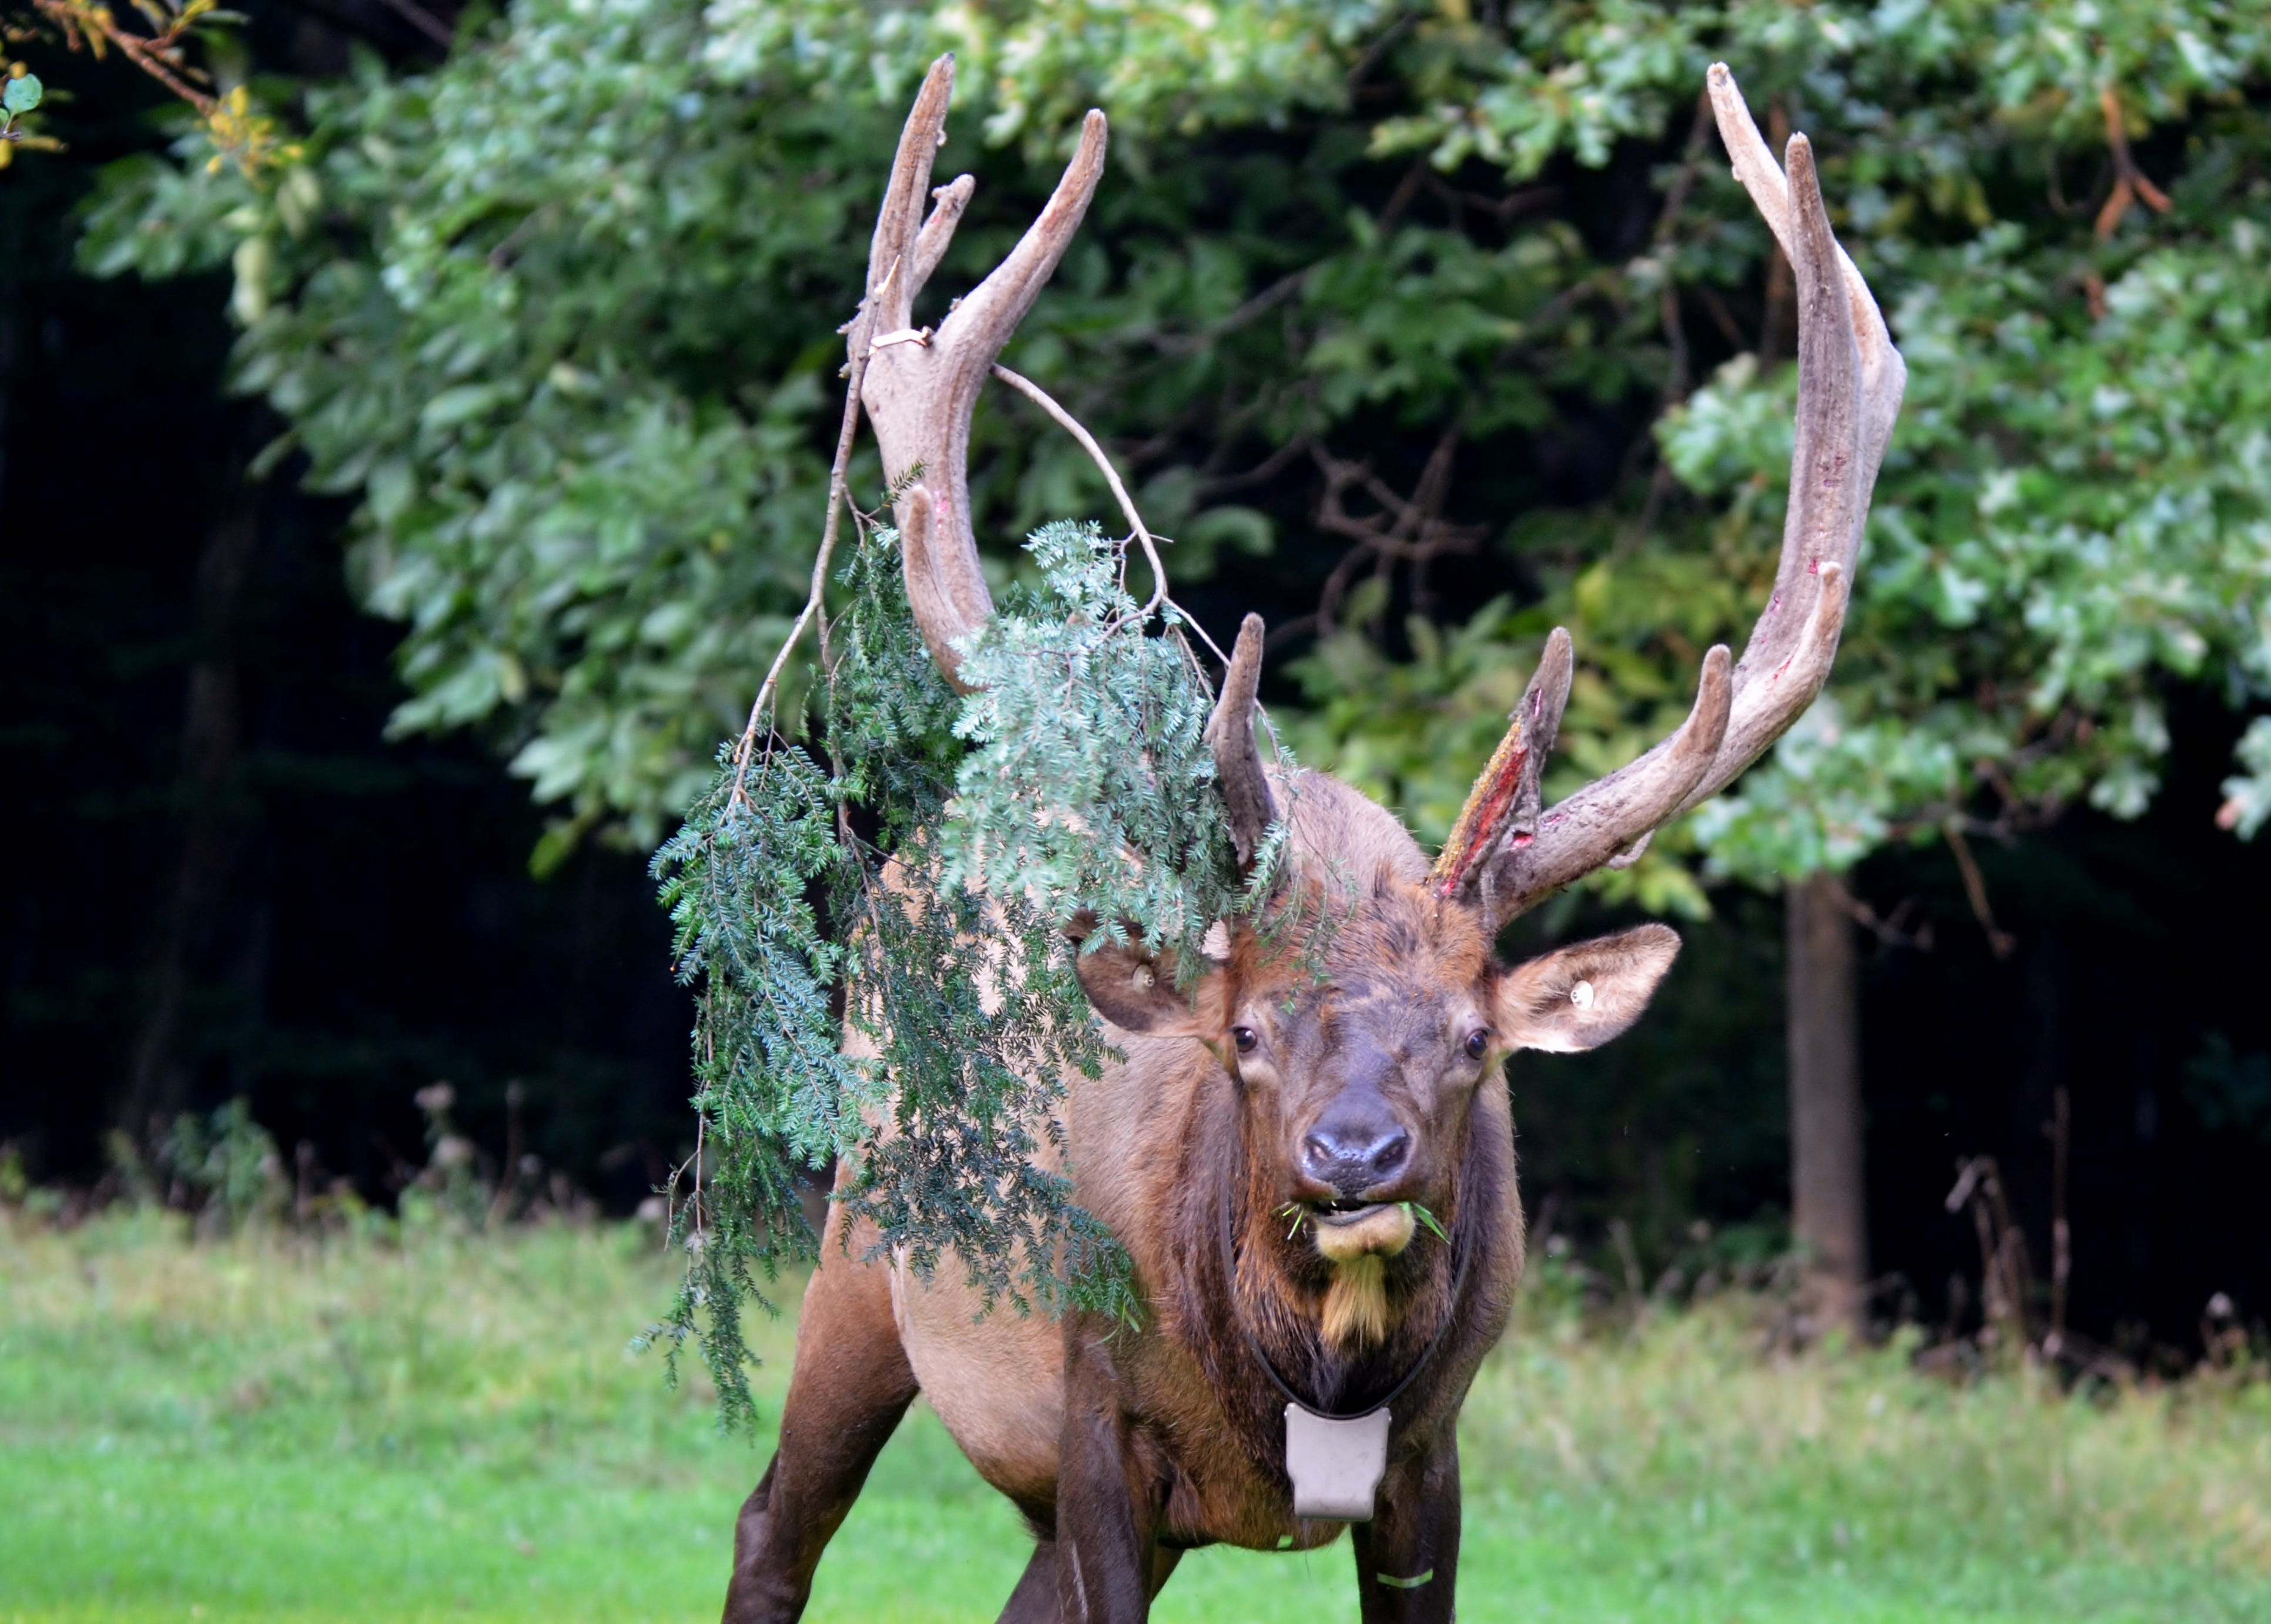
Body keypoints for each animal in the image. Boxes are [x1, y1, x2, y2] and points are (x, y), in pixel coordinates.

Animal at [722, 53, 1898, 1624]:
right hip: (860, 1238)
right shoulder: (1095, 1414)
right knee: (771, 1522)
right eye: (1248, 1031)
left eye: (1475, 1039)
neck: (1308, 1383)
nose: (1355, 1154)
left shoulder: (1437, 1452)